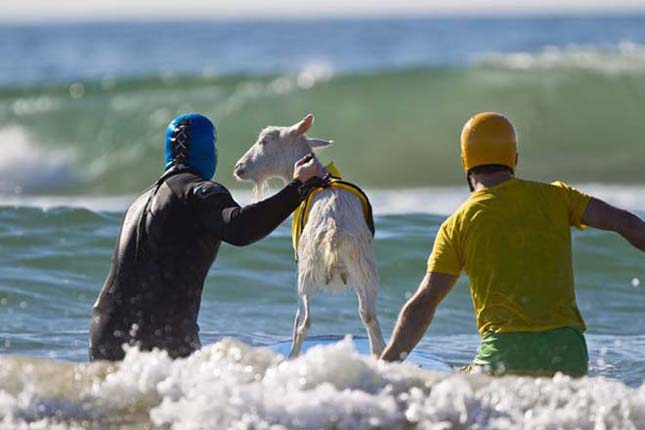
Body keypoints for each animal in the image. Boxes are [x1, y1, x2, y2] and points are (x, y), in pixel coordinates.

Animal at [236, 113, 388, 356]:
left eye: (265, 140)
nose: (238, 167)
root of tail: (334, 228)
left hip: (306, 271)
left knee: (304, 319)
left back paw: (292, 356)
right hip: (364, 268)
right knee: (368, 315)